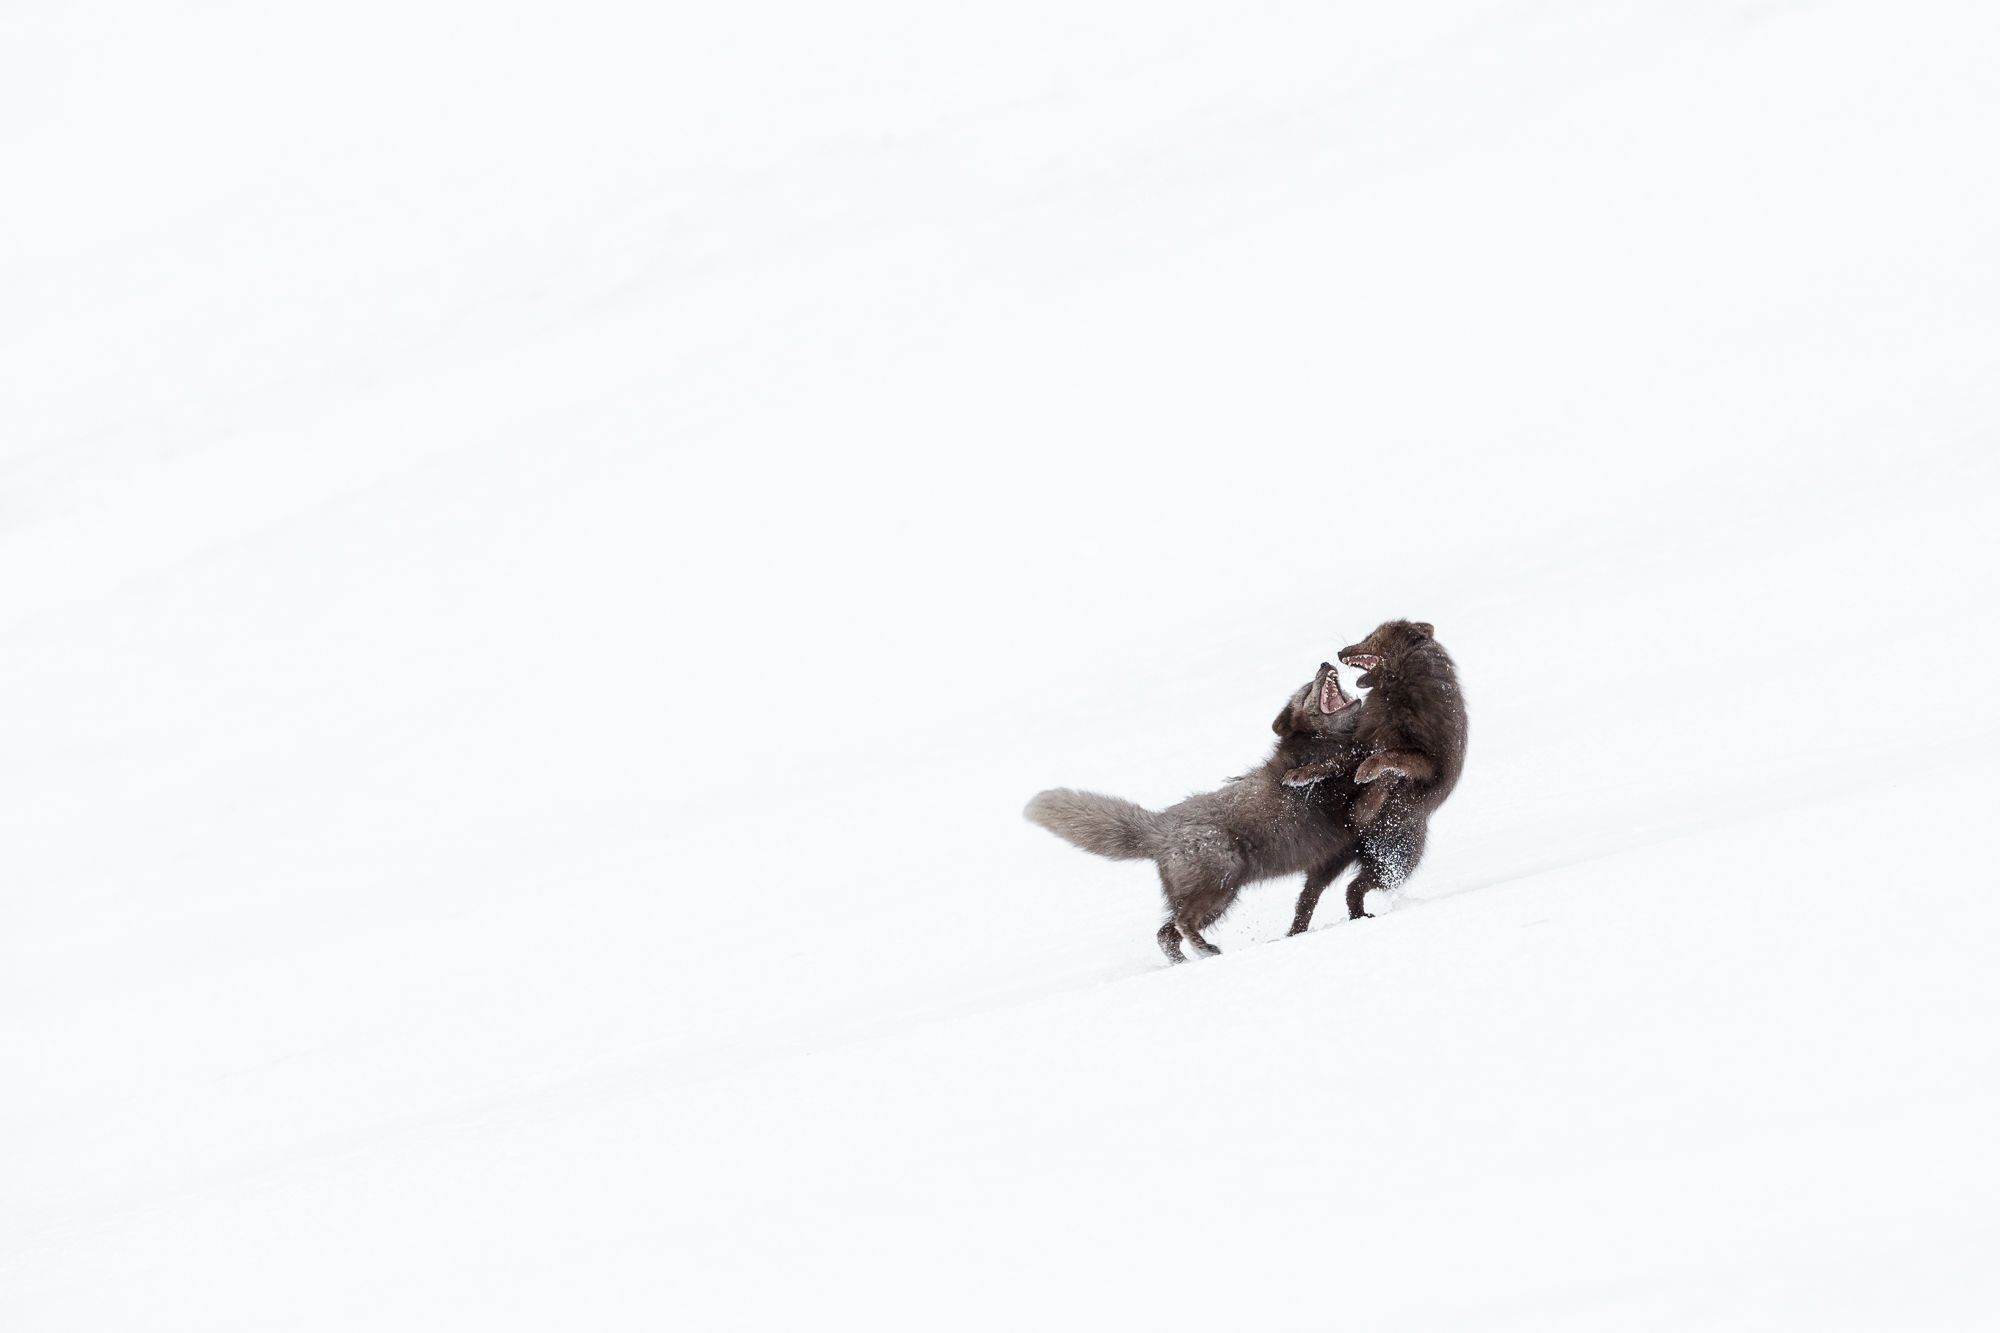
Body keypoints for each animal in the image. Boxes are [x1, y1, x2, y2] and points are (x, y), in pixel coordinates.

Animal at [1025, 662, 1368, 962]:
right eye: (1308, 688)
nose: (1324, 663)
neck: (1323, 744)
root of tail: (1161, 826)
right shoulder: (1326, 781)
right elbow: (1343, 765)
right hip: (1221, 882)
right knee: (1180, 922)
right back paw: (1205, 950)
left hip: (1220, 897)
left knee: (1166, 933)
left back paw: (1186, 958)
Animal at [1280, 619, 1467, 931]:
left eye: (1371, 637)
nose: (1340, 651)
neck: (1397, 688)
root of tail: (1358, 848)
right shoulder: (1362, 741)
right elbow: (1333, 762)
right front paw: (1298, 774)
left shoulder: (1429, 760)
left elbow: (1392, 759)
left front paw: (1367, 784)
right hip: (1333, 859)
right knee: (1310, 894)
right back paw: (1298, 930)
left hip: (1391, 863)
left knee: (1355, 886)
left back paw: (1358, 914)